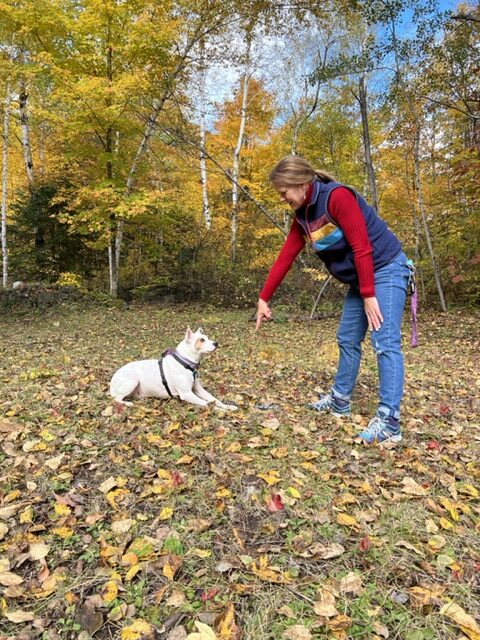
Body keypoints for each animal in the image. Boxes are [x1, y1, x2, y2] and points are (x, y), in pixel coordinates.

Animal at [108, 328, 236, 412]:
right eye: (202, 340)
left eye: (207, 338)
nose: (216, 343)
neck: (185, 362)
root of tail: (112, 381)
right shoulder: (186, 394)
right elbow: (207, 404)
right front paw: (222, 411)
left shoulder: (198, 389)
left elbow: (215, 399)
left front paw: (228, 406)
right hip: (132, 380)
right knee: (116, 399)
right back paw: (127, 403)